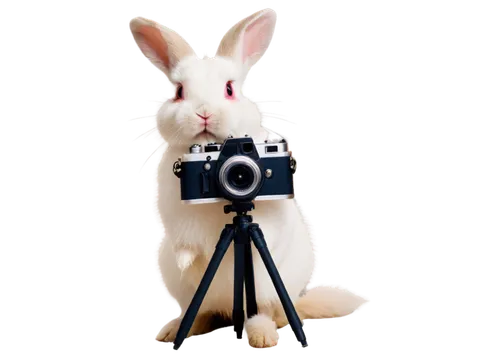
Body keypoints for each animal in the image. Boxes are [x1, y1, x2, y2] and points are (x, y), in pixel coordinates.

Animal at [129, 7, 372, 350]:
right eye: (178, 93)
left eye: (230, 89)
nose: (204, 112)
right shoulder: (175, 212)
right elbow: (185, 243)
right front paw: (187, 261)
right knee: (202, 311)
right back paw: (176, 331)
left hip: (274, 291)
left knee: (268, 310)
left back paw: (261, 334)